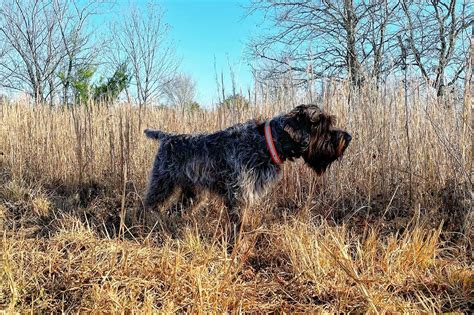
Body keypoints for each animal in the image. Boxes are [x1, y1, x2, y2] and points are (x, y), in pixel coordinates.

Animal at [144, 105, 352, 237]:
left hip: (193, 195)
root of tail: (167, 137)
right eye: (322, 125)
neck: (268, 142)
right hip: (161, 184)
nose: (348, 137)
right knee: (147, 205)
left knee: (172, 210)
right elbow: (238, 225)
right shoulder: (239, 195)